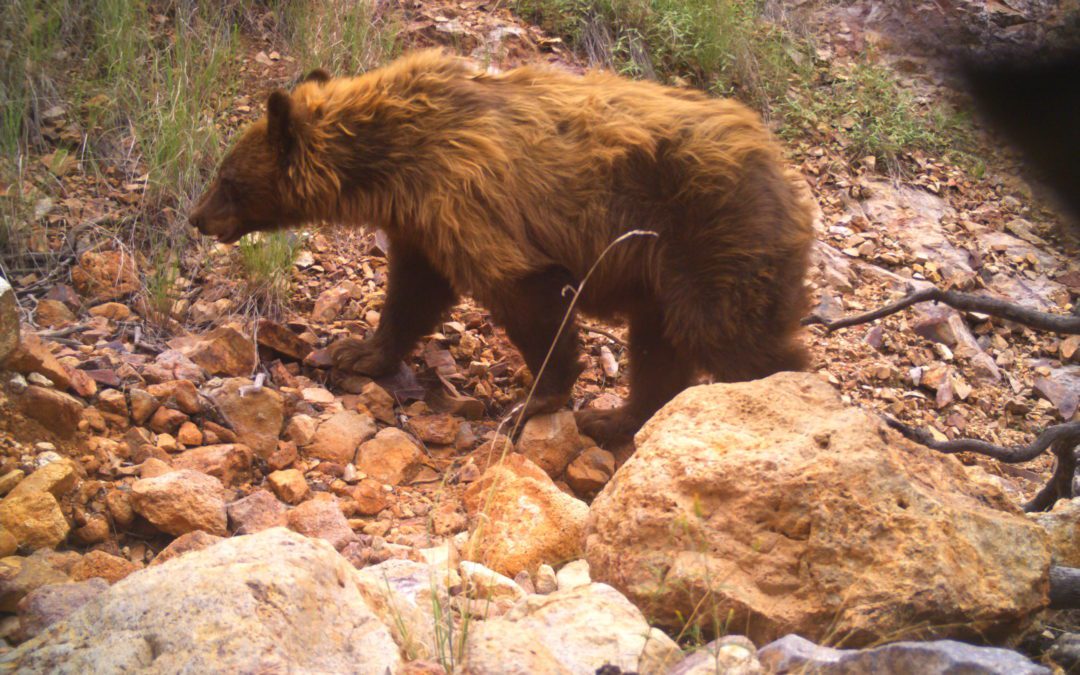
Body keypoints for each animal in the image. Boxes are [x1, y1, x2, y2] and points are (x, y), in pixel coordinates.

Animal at [192, 48, 812, 447]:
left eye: (226, 179)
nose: (197, 218)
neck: (388, 157)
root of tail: (787, 179)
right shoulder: (423, 220)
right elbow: (413, 292)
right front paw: (358, 351)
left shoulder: (471, 196)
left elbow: (525, 294)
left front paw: (536, 398)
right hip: (663, 276)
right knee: (661, 347)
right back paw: (615, 422)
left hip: (713, 242)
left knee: (733, 338)